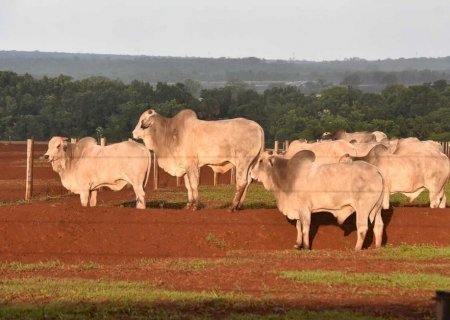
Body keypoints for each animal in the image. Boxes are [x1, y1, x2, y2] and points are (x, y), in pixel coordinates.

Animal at [131, 109, 264, 211]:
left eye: (142, 121)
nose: (133, 133)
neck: (170, 133)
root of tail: (258, 127)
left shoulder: (192, 164)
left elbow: (194, 184)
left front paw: (195, 205)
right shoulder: (184, 166)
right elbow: (188, 186)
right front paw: (188, 205)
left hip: (242, 162)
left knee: (241, 182)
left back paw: (232, 206)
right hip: (251, 164)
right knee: (247, 182)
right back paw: (239, 206)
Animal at [250, 150, 384, 250]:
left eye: (261, 161)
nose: (251, 173)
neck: (287, 175)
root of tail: (376, 170)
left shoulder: (305, 208)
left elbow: (305, 227)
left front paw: (306, 246)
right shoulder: (298, 209)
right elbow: (298, 226)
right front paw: (298, 244)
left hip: (363, 208)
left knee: (362, 227)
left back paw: (357, 249)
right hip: (376, 209)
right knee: (378, 225)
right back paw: (377, 247)